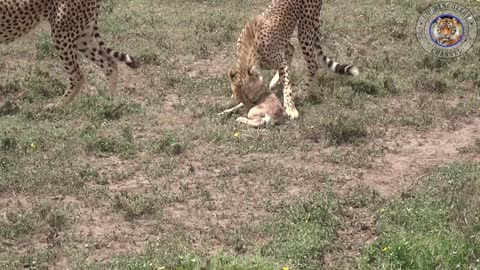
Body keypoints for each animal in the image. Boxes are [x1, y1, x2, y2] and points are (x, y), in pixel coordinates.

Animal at [0, 0, 141, 109]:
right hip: (83, 36)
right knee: (109, 63)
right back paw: (107, 103)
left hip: (61, 32)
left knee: (77, 76)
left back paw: (57, 106)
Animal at [228, 0, 356, 119]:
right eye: (240, 99)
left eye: (250, 98)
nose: (249, 111)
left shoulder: (280, 62)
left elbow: (287, 86)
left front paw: (290, 108)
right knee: (291, 48)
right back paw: (275, 82)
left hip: (305, 30)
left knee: (313, 64)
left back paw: (302, 93)